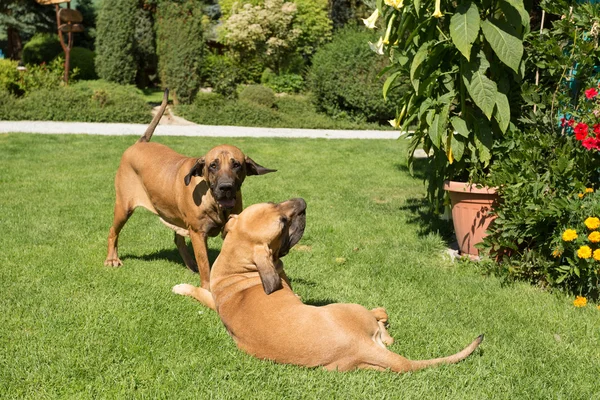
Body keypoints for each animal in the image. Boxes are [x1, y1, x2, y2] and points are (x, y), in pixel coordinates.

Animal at [105, 90, 276, 290]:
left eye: (237, 165)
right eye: (213, 165)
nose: (225, 187)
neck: (214, 202)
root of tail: (139, 143)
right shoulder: (198, 233)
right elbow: (205, 265)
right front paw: (207, 288)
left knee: (178, 239)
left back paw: (189, 264)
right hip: (124, 207)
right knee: (113, 231)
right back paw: (112, 259)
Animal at [172, 198, 482, 374]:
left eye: (275, 205)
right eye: (282, 221)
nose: (302, 201)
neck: (238, 263)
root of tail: (359, 346)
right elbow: (201, 291)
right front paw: (183, 288)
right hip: (351, 308)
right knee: (384, 323)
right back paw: (382, 318)